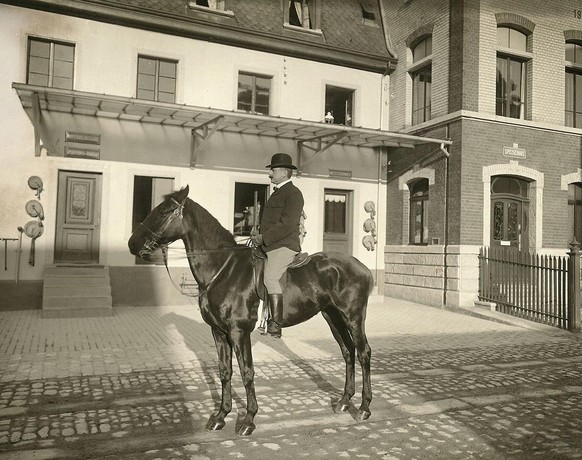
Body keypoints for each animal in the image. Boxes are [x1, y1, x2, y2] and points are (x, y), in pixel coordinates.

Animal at [128, 186, 374, 434]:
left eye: (163, 211)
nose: (132, 243)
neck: (223, 268)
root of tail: (362, 267)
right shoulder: (219, 332)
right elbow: (225, 371)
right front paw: (221, 415)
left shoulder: (239, 331)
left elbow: (247, 372)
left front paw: (248, 419)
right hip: (333, 317)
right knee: (348, 351)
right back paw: (344, 401)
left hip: (353, 317)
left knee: (363, 353)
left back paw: (364, 407)